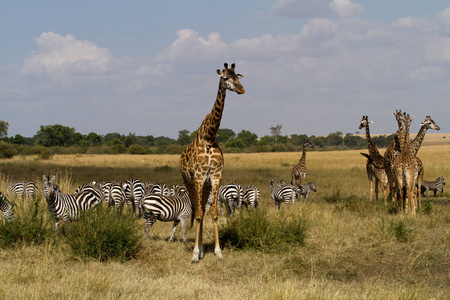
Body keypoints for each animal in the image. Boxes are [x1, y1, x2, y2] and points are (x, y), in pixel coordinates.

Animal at [178, 62, 244, 262]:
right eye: (225, 77)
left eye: (237, 76)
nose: (241, 89)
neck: (209, 137)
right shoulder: (199, 176)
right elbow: (199, 214)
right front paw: (194, 254)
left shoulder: (215, 176)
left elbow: (213, 214)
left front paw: (218, 251)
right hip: (189, 182)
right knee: (196, 210)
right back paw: (197, 251)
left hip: (205, 185)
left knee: (202, 210)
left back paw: (201, 250)